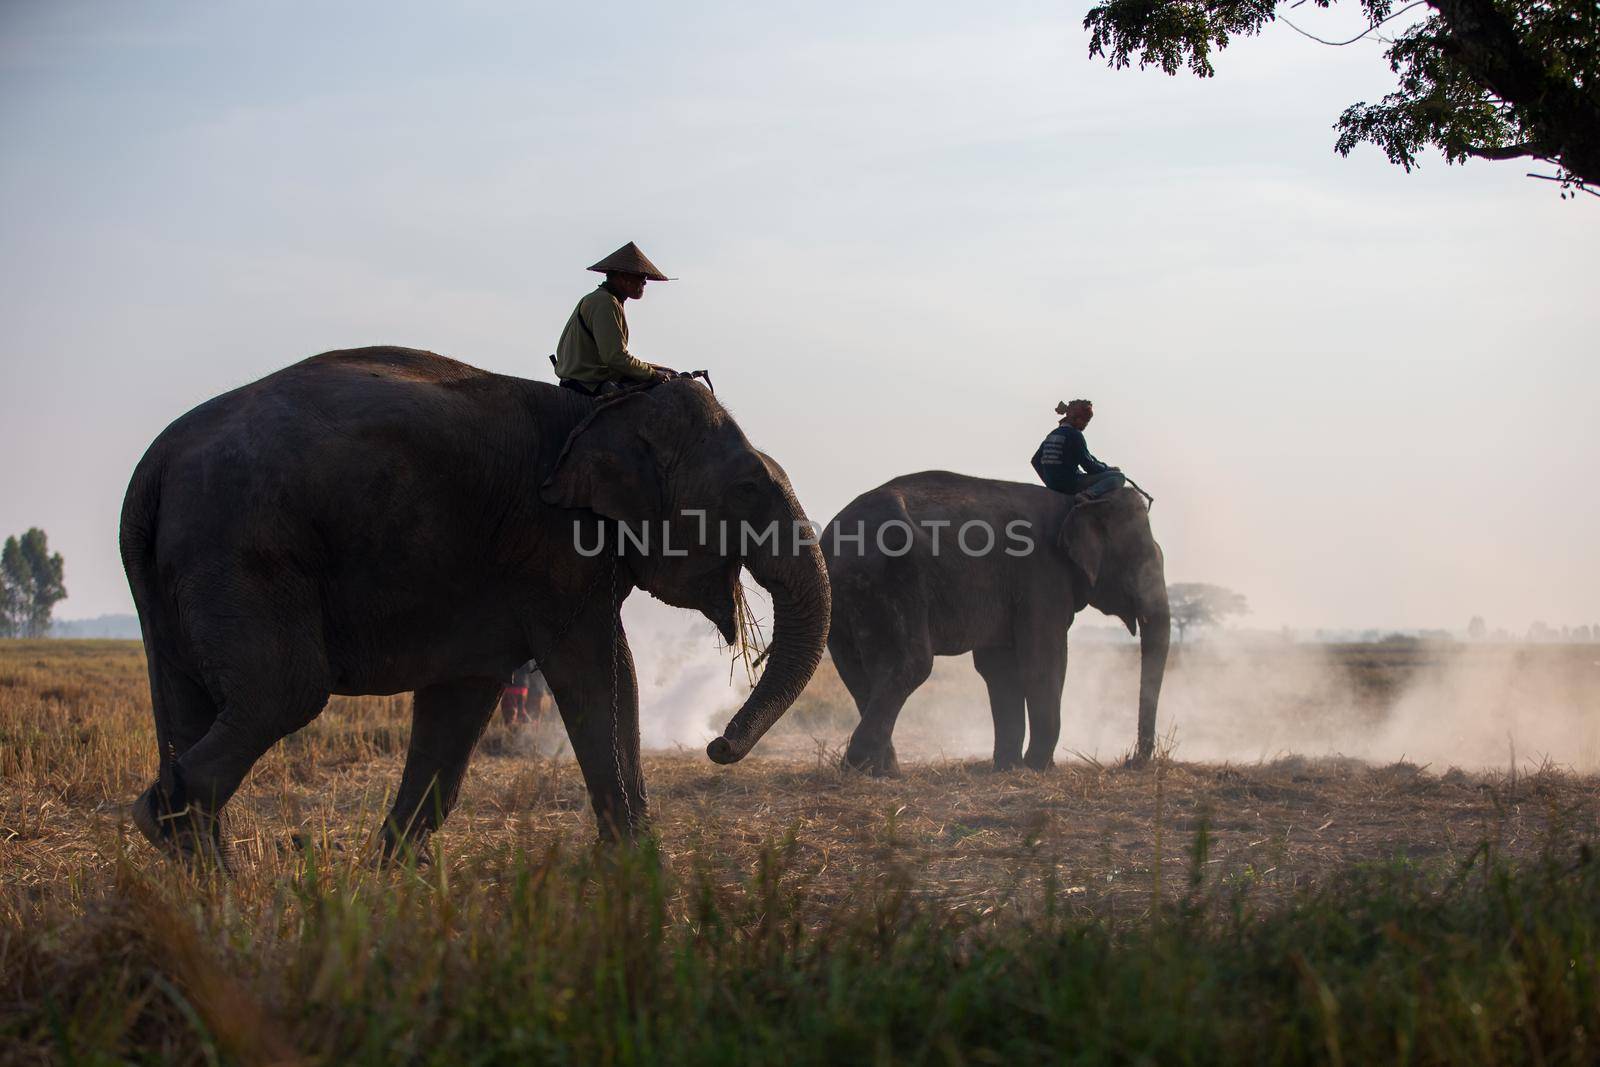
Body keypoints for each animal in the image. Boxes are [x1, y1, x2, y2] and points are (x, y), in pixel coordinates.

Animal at [118, 347, 832, 863]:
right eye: (747, 488)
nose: (716, 745)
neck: (601, 408)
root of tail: (152, 469)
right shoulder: (556, 548)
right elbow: (601, 675)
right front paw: (639, 871)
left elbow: (461, 701)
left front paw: (386, 879)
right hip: (243, 548)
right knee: (285, 692)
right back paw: (174, 838)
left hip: (181, 572)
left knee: (188, 702)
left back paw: (208, 888)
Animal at [819, 476, 1171, 777]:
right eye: (1142, 564)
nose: (1130, 761)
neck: (1076, 499)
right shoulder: (1042, 576)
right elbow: (1043, 661)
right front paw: (1038, 768)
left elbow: (1000, 668)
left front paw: (1009, 768)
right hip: (892, 576)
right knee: (911, 664)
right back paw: (860, 769)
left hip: (846, 599)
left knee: (856, 673)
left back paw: (882, 772)